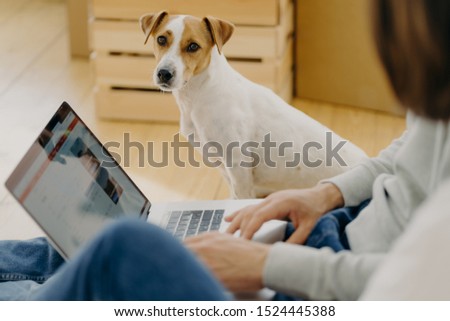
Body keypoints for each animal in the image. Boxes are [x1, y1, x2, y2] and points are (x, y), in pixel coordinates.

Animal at [141, 11, 370, 198]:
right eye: (161, 39)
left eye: (193, 46)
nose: (164, 73)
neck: (200, 94)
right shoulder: (224, 168)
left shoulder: (238, 168)